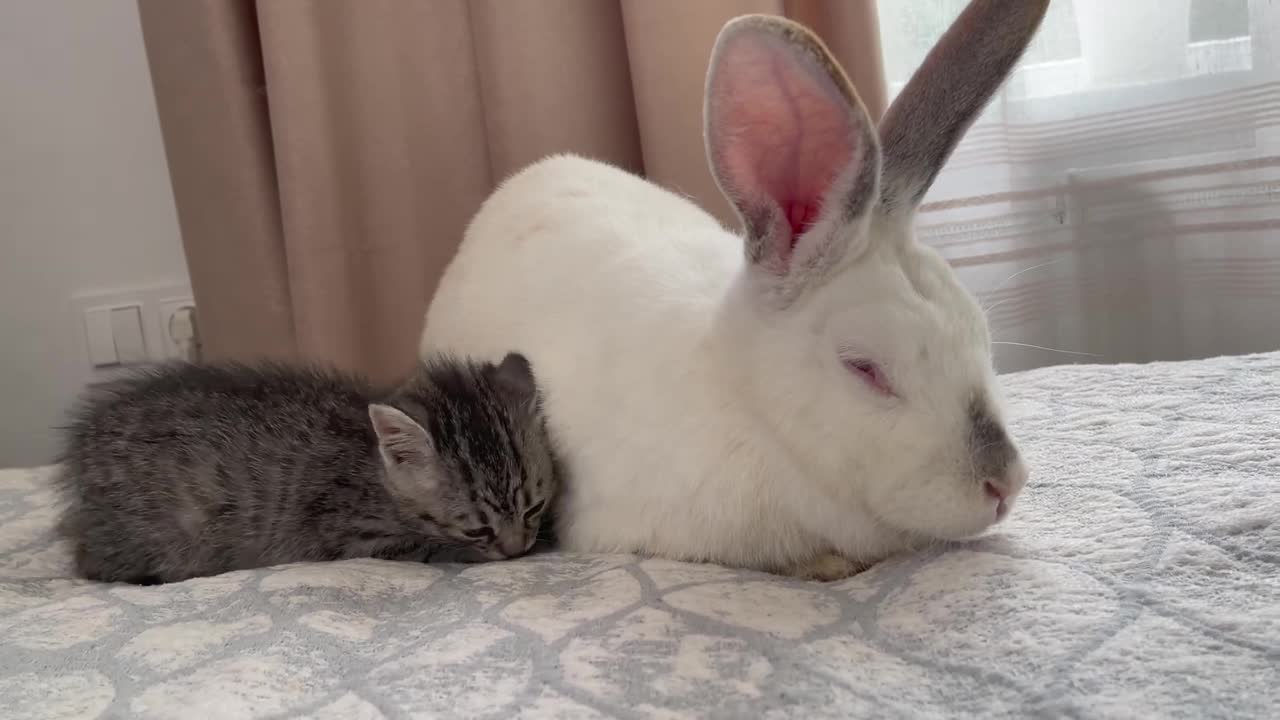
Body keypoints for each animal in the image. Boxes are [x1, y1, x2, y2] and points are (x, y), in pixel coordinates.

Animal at [55, 351, 558, 584]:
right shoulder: (354, 538)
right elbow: (435, 549)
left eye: (534, 508)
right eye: (477, 530)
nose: (518, 551)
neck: (373, 467)